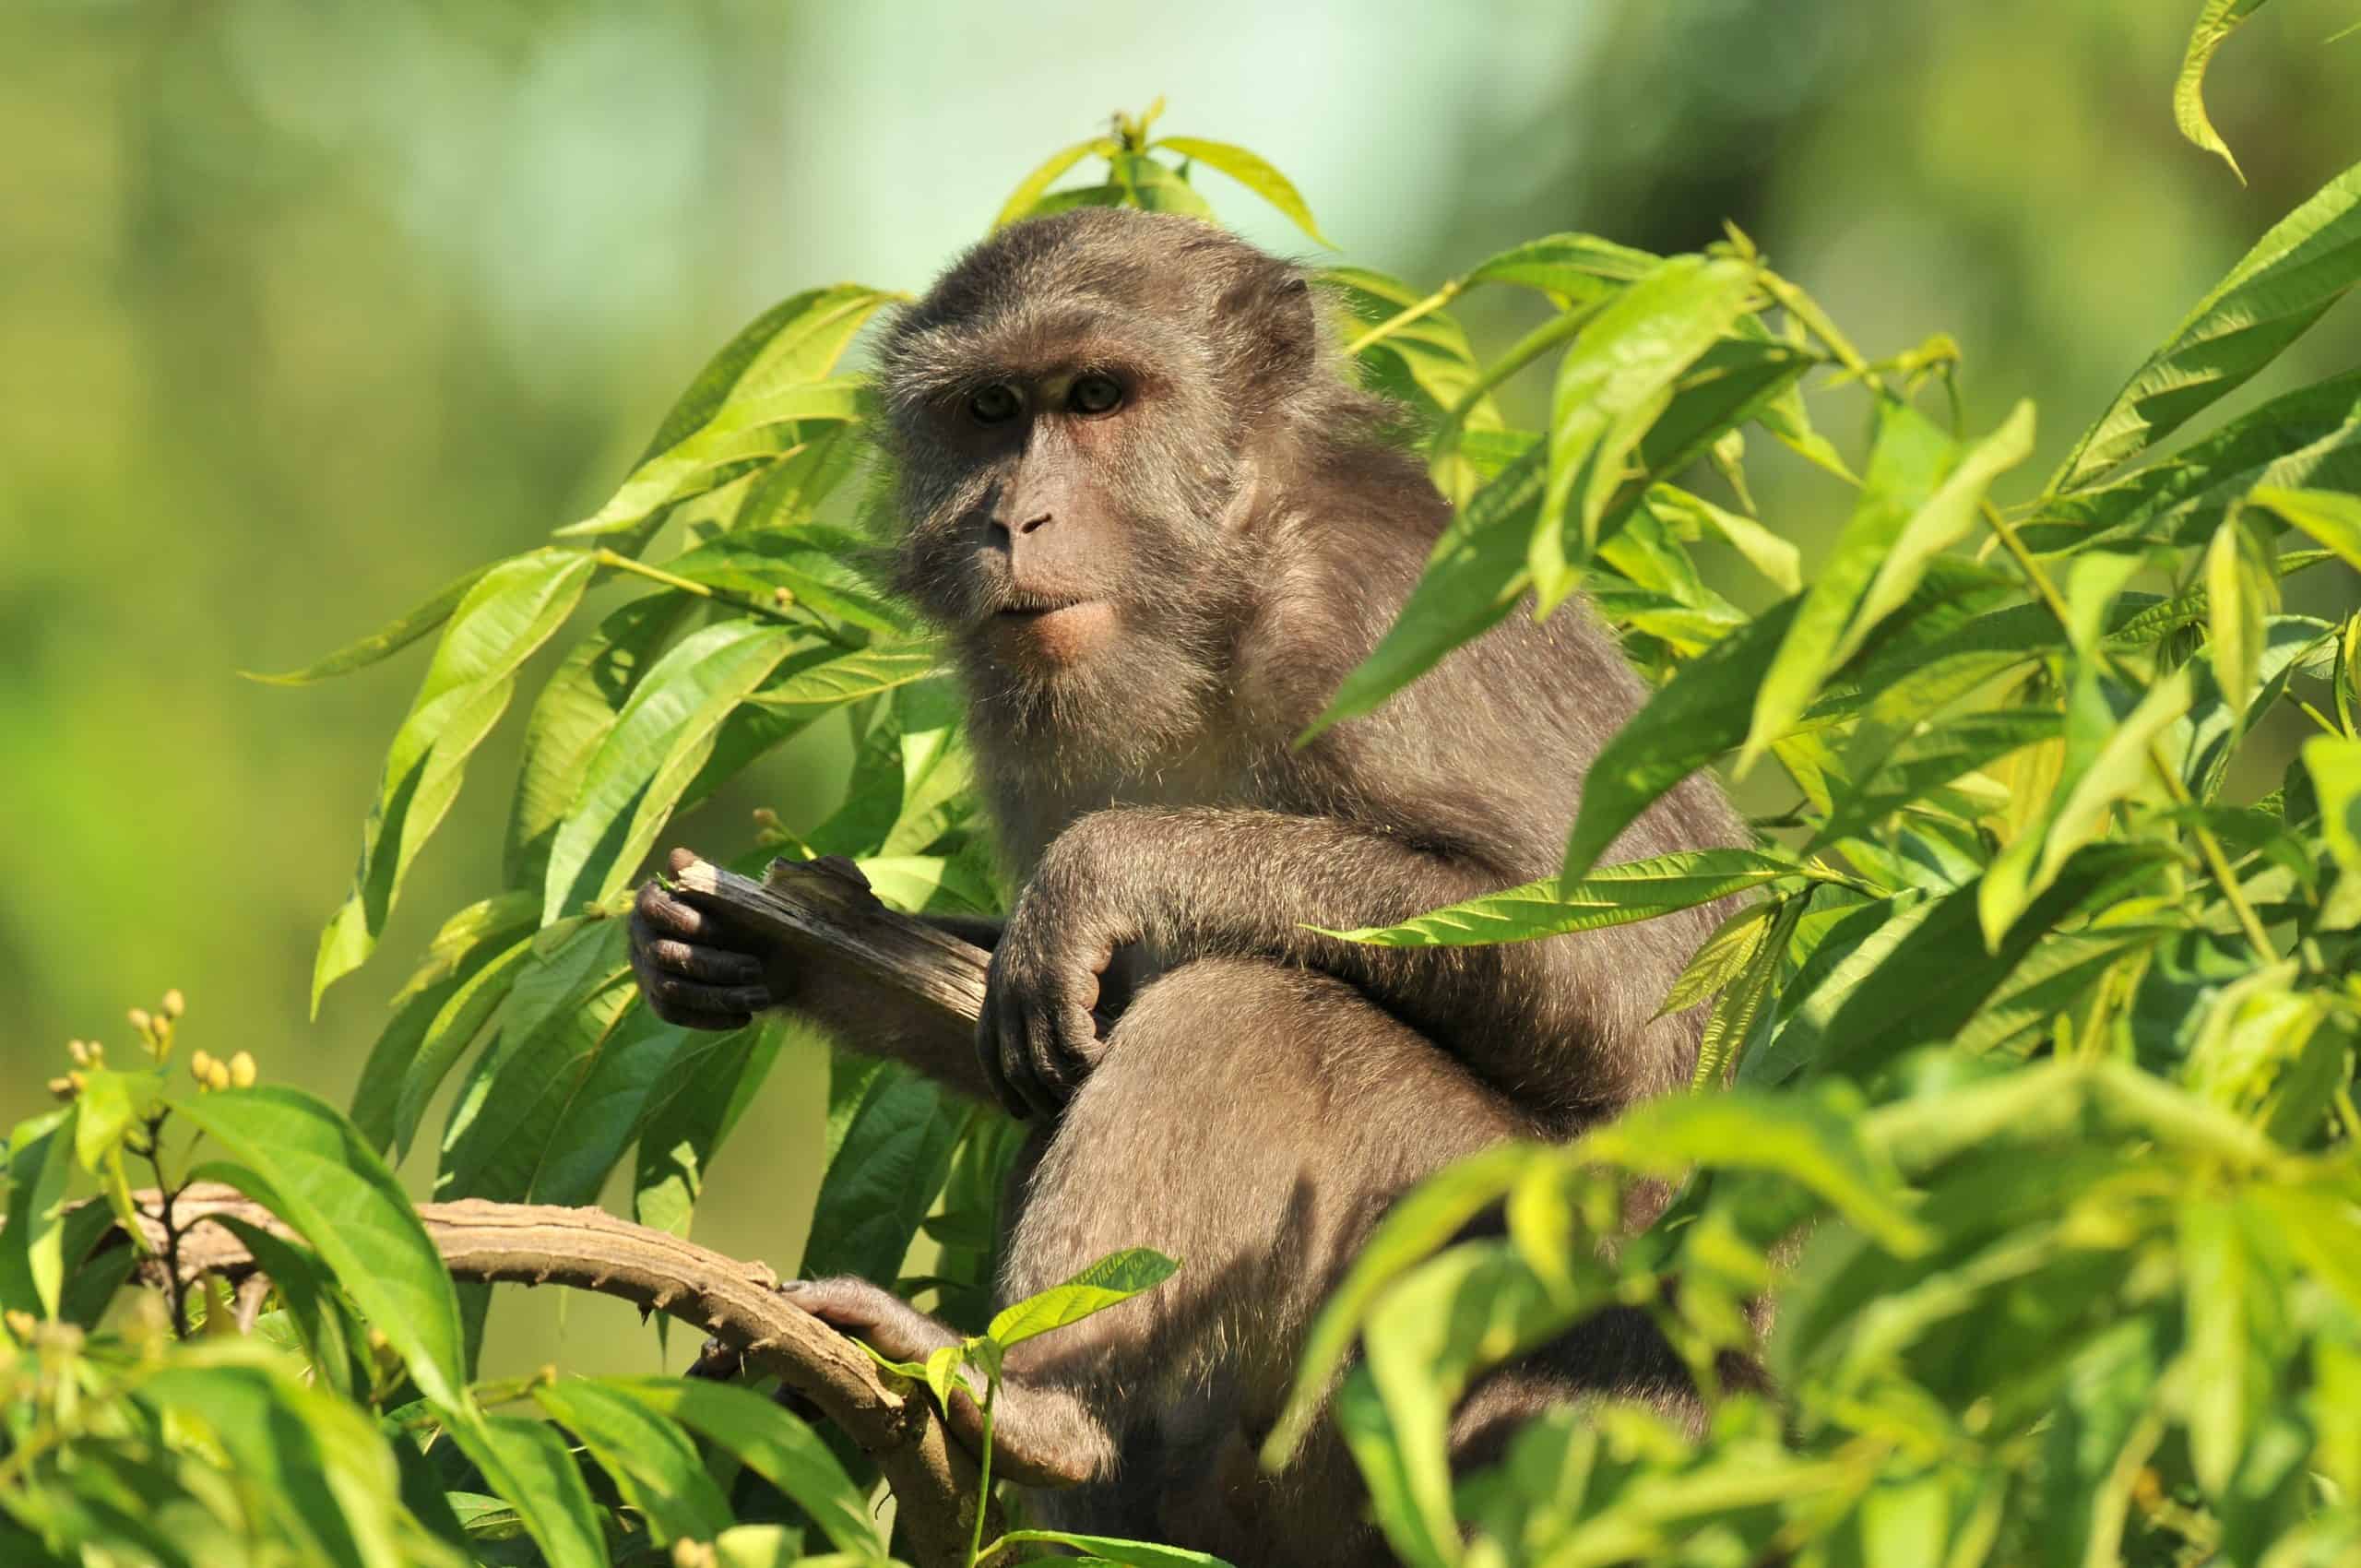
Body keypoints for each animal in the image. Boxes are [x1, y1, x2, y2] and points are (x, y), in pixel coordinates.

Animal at [629, 208, 1752, 1566]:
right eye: (991, 410)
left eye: (1098, 397)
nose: (1014, 521)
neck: (1214, 589)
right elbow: (1033, 1033)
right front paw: (762, 939)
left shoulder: (1363, 615)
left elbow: (1633, 980)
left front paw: (1106, 869)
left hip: (1491, 1292)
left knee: (1252, 1011)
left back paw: (1031, 1405)